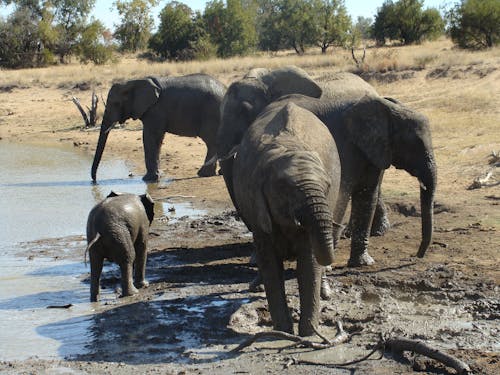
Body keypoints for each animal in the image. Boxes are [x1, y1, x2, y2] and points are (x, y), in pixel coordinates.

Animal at [92, 74, 227, 183]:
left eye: (116, 104)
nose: (94, 181)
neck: (133, 82)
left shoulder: (155, 110)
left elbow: (150, 137)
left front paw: (148, 179)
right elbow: (156, 139)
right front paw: (157, 176)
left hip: (211, 112)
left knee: (211, 142)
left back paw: (203, 174)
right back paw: (218, 172)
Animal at [217, 67, 436, 268]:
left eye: (244, 110)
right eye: (414, 145)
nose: (417, 256)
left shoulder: (360, 145)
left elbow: (365, 192)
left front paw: (361, 263)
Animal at [232, 100, 342, 338]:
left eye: (328, 186)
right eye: (285, 190)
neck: (289, 147)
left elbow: (308, 264)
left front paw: (308, 333)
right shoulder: (257, 204)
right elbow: (271, 264)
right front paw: (283, 331)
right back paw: (256, 285)